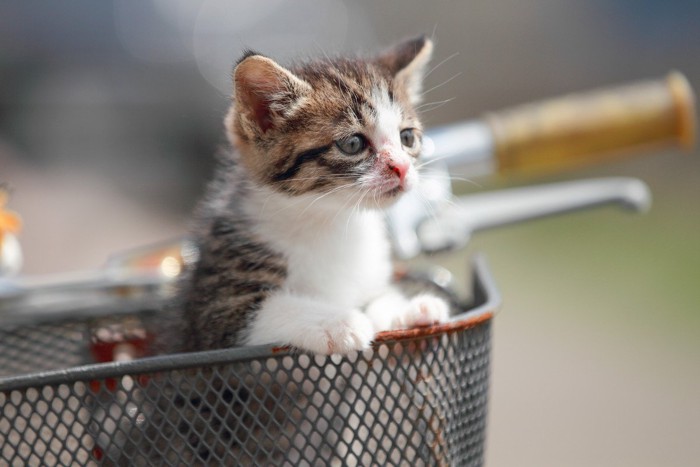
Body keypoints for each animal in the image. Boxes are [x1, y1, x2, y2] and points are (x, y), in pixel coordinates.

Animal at [178, 36, 446, 356]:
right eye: (353, 144)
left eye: (407, 138)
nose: (403, 168)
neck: (333, 221)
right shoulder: (212, 315)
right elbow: (269, 309)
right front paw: (340, 322)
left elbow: (379, 298)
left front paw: (408, 310)